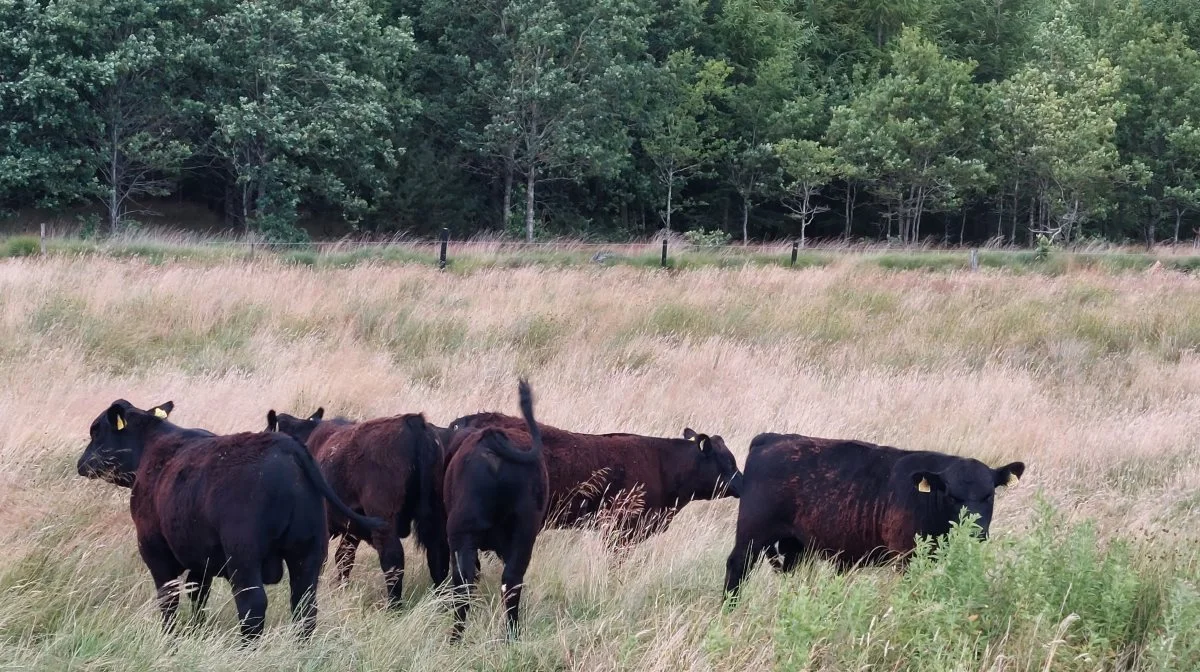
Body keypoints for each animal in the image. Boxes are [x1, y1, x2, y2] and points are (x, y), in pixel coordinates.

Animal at [265, 408, 448, 607]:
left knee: (393, 557)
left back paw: (394, 606)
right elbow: (343, 558)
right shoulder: (351, 529)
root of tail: (412, 420)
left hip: (384, 519)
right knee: (438, 555)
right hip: (434, 517)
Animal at [720, 436, 1022, 597]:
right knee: (737, 567)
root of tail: (772, 438)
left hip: (796, 546)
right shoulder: (906, 557)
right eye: (951, 496)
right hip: (752, 535)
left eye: (989, 495)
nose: (975, 531)